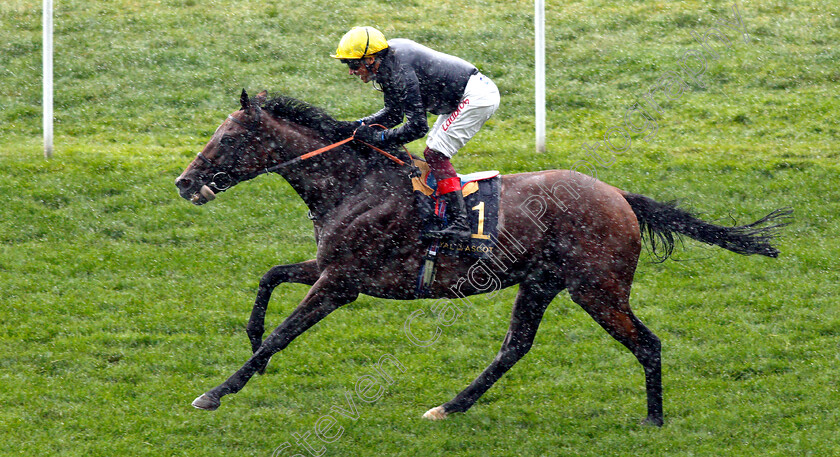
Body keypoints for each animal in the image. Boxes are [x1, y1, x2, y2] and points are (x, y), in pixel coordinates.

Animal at [174, 90, 792, 428]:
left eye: (227, 139)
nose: (183, 182)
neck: (356, 185)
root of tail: (619, 195)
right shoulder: (333, 270)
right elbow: (268, 279)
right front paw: (251, 340)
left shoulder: (342, 283)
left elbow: (284, 331)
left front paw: (216, 392)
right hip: (541, 284)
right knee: (514, 347)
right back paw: (450, 407)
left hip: (597, 289)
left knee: (648, 343)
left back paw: (655, 419)